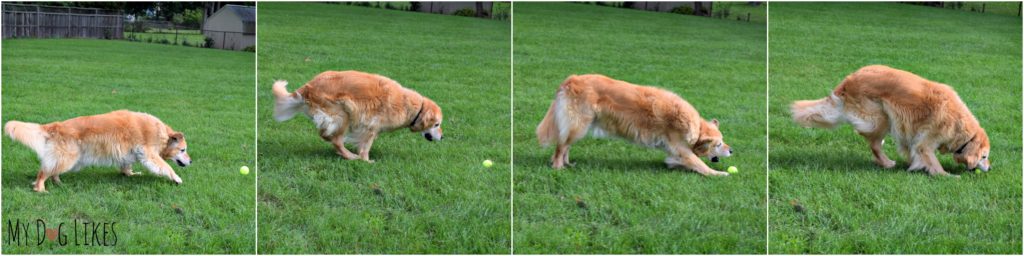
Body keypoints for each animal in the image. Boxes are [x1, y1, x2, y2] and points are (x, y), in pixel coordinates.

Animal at [4, 110, 191, 192]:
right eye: (183, 150)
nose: (191, 161)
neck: (162, 133)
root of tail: (56, 125)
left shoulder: (129, 153)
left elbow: (126, 166)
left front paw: (130, 174)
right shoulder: (150, 154)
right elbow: (167, 167)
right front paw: (177, 178)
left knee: (52, 171)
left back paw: (58, 183)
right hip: (68, 158)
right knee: (43, 172)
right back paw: (40, 188)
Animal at [272, 70, 444, 161]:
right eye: (437, 124)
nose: (443, 137)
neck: (413, 106)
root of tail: (308, 86)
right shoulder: (371, 126)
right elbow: (365, 146)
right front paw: (366, 160)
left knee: (327, 136)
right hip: (342, 114)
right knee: (335, 140)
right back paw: (351, 157)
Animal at [540, 74, 733, 176]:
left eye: (722, 141)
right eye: (718, 144)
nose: (731, 150)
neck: (696, 127)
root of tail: (570, 80)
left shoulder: (676, 150)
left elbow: (680, 161)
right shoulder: (680, 148)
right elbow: (699, 163)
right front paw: (719, 174)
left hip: (579, 126)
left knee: (565, 145)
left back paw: (567, 164)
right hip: (578, 125)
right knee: (561, 146)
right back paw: (558, 167)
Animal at [790, 65, 991, 176]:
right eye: (984, 156)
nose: (989, 169)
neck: (960, 126)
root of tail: (847, 81)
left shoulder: (913, 137)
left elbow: (913, 152)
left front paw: (913, 165)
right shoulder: (925, 142)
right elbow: (932, 161)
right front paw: (946, 175)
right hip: (882, 117)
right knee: (873, 142)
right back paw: (886, 163)